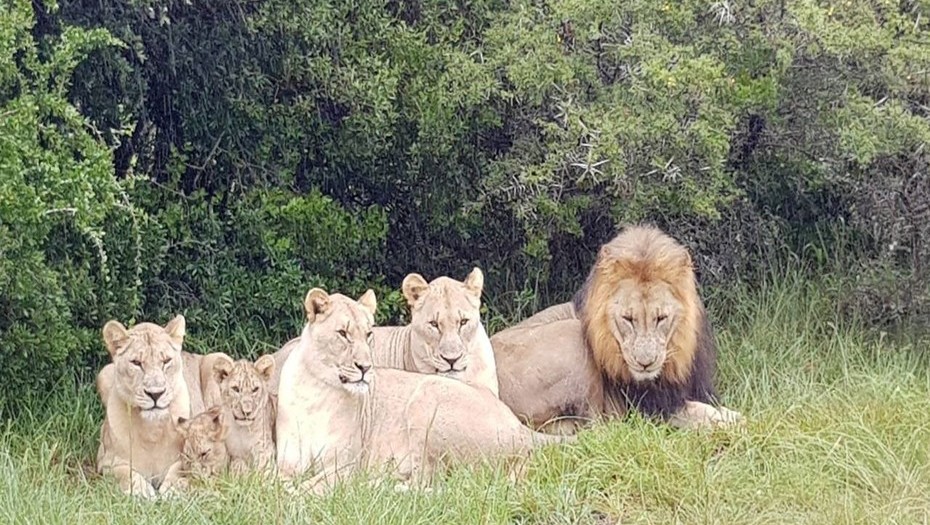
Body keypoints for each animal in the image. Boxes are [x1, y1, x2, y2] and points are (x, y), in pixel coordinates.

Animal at [95, 315, 200, 498]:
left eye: (166, 361)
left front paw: (172, 489)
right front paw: (141, 491)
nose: (155, 394)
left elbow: (180, 469)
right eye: (136, 362)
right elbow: (125, 473)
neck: (152, 430)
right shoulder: (106, 461)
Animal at [275, 288, 569, 491]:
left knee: (429, 483)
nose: (365, 367)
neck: (316, 391)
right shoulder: (285, 463)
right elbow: (273, 484)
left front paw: (299, 495)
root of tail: (518, 426)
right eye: (343, 334)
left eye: (368, 334)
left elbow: (312, 487)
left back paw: (374, 486)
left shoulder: (346, 465)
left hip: (426, 397)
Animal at [491, 225, 743, 432]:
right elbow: (702, 413)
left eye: (661, 318)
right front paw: (735, 424)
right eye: (628, 318)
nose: (645, 363)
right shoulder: (651, 408)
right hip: (572, 335)